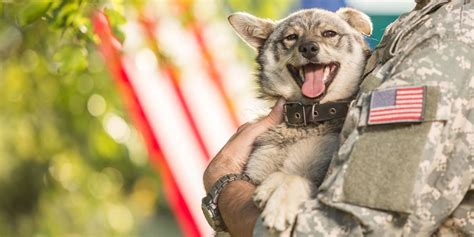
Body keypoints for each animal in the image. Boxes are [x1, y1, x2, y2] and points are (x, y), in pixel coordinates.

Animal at [228, 6, 372, 233]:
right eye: (291, 37)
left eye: (329, 33)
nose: (309, 48)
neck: (306, 118)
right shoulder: (254, 171)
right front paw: (271, 188)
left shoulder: (322, 176)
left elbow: (295, 178)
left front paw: (279, 201)